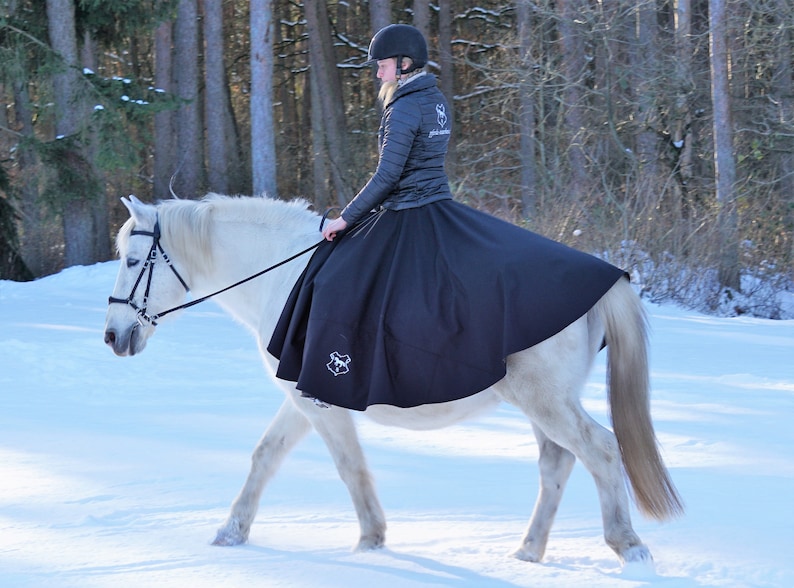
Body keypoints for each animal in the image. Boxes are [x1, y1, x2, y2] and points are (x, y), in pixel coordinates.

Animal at [103, 193, 683, 567]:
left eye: (131, 260)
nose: (111, 335)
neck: (283, 275)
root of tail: (602, 280)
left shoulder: (320, 403)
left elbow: (348, 466)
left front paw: (370, 541)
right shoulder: (301, 398)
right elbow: (266, 455)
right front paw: (231, 532)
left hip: (546, 401)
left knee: (601, 451)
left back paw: (628, 546)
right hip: (546, 403)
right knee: (557, 464)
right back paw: (528, 552)